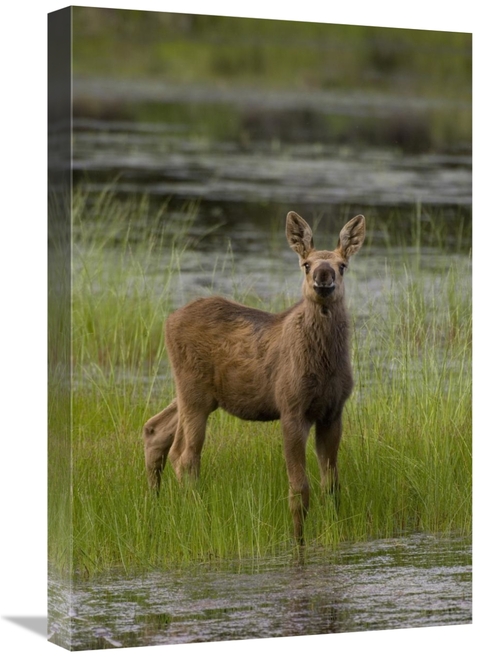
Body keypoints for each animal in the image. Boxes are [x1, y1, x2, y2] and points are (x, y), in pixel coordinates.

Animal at [143, 211, 365, 543]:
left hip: (197, 396)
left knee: (155, 430)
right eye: (306, 264)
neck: (325, 363)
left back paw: (156, 504)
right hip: (194, 393)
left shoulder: (332, 412)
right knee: (184, 455)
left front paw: (334, 528)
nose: (323, 277)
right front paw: (298, 540)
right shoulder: (292, 409)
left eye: (342, 265)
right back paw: (197, 514)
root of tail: (168, 320)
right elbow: (299, 489)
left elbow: (332, 485)